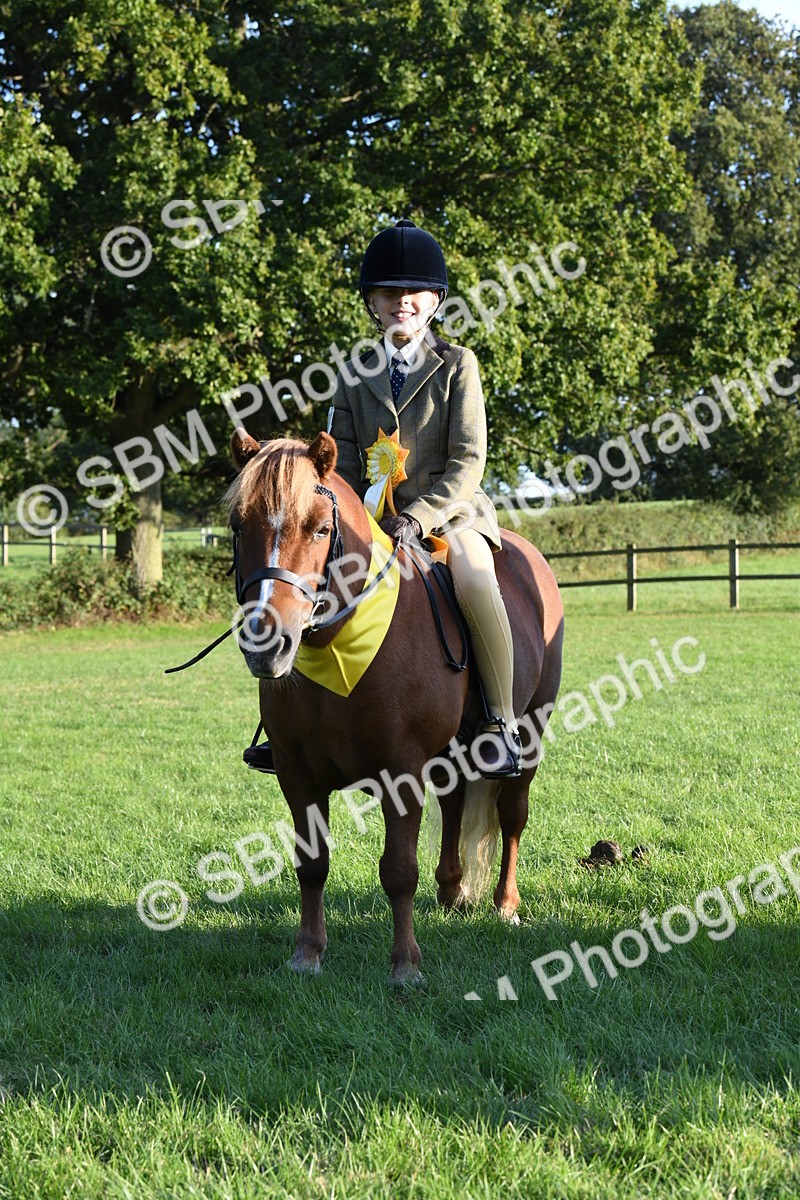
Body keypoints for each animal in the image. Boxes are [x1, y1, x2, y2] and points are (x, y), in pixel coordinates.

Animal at [226, 428, 564, 985]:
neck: (339, 648)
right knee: (454, 799)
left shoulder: (401, 772)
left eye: (321, 529)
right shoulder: (296, 774)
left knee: (513, 814)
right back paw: (451, 888)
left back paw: (505, 904)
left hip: (531, 731)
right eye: (238, 525)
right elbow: (311, 864)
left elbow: (399, 870)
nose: (267, 645)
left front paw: (405, 965)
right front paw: (307, 954)